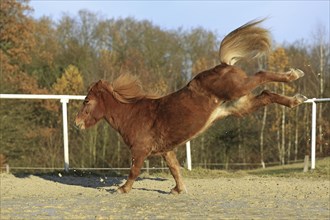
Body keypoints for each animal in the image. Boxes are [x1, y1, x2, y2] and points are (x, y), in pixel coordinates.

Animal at [75, 19, 306, 194]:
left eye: (87, 101)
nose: (77, 123)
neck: (132, 114)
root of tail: (224, 65)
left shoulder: (140, 151)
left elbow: (134, 171)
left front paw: (121, 189)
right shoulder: (166, 151)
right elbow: (175, 169)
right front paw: (178, 190)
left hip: (238, 90)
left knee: (261, 75)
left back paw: (294, 75)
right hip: (240, 106)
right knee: (266, 94)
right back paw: (296, 100)